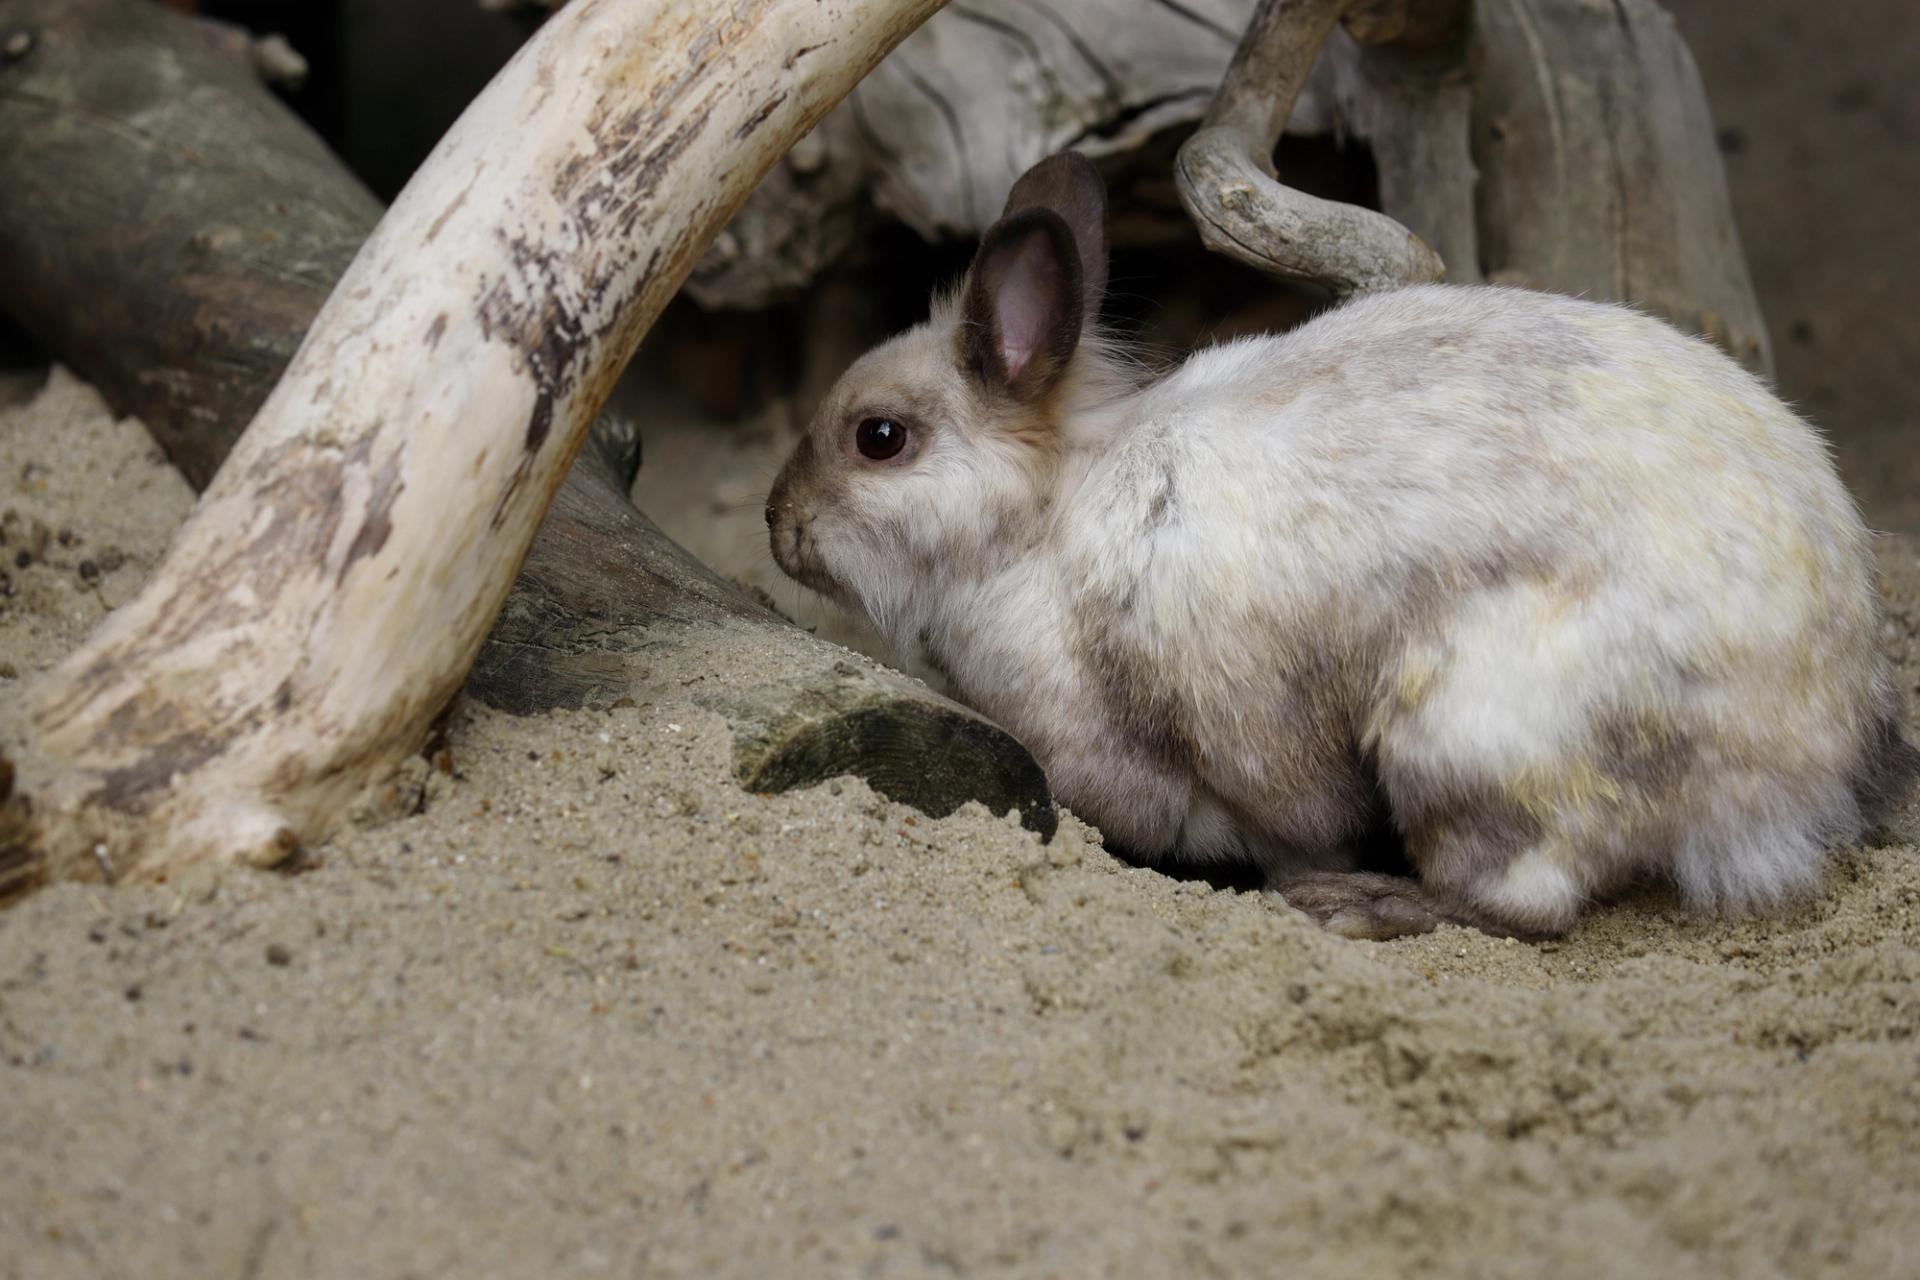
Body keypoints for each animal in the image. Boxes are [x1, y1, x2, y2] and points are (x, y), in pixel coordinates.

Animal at [764, 151, 1919, 940]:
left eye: (879, 438)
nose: (778, 524)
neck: (1046, 526)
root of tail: (1816, 754)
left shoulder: (1228, 730)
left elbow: (1284, 810)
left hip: (1469, 736)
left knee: (1519, 901)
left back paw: (1358, 903)